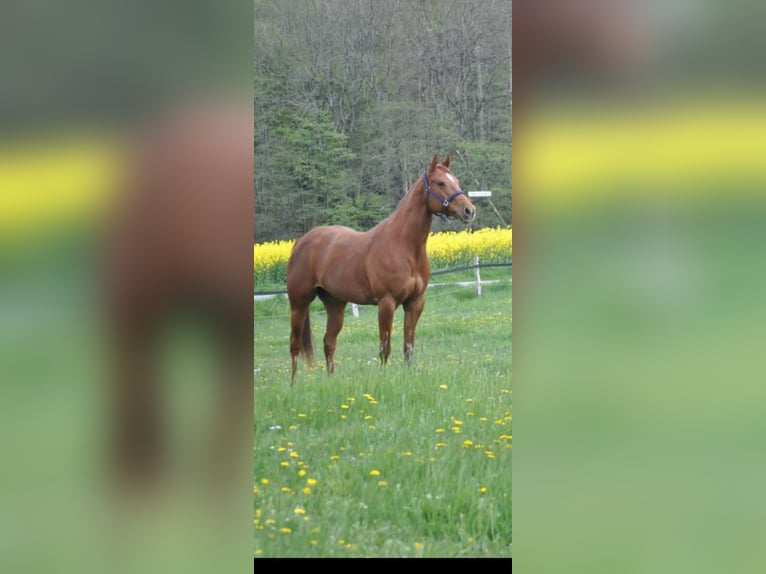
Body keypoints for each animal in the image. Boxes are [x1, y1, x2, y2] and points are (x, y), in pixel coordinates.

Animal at [286, 153, 476, 384]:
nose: (469, 211)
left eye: (456, 180)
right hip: (299, 303)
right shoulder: (386, 303)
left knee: (328, 342)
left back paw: (331, 380)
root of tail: (301, 242)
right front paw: (384, 379)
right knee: (295, 345)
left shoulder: (415, 303)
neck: (403, 246)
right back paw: (293, 385)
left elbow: (408, 346)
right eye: (440, 183)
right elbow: (385, 348)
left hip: (335, 304)